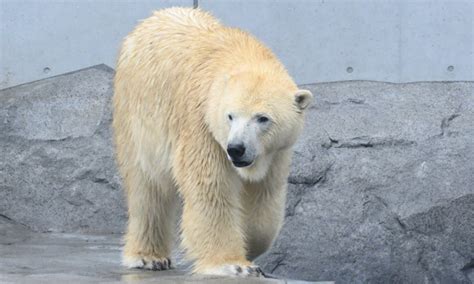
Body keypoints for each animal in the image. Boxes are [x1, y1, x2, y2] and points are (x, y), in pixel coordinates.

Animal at [113, 7, 312, 278]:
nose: (236, 149)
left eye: (263, 118)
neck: (241, 53)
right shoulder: (203, 127)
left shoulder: (275, 153)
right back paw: (148, 257)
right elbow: (211, 189)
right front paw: (233, 264)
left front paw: (249, 247)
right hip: (136, 117)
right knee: (148, 188)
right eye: (230, 116)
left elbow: (263, 195)